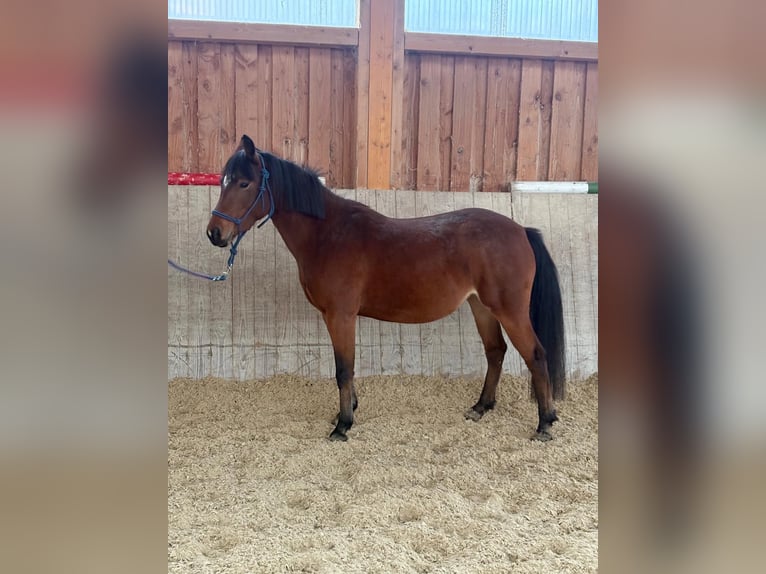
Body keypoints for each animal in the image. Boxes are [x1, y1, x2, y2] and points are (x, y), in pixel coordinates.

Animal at [207, 135, 566, 441]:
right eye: (223, 181)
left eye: (244, 183)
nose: (214, 233)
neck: (328, 234)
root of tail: (520, 230)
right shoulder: (335, 317)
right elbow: (347, 367)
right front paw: (349, 410)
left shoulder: (340, 315)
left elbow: (343, 369)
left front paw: (343, 425)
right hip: (481, 307)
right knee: (496, 352)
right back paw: (481, 407)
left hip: (509, 310)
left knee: (536, 355)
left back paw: (545, 423)